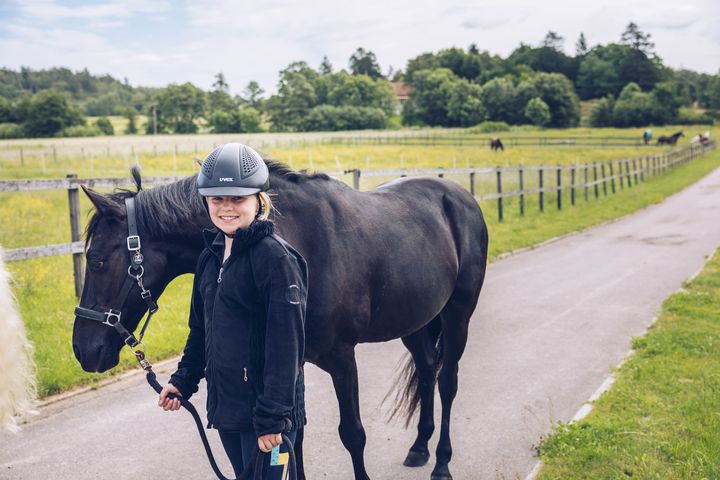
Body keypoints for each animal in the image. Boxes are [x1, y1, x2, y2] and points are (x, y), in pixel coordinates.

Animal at [73, 161, 490, 480]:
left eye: (98, 261)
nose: (82, 350)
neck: (299, 239)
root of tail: (460, 196)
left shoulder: (343, 358)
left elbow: (352, 434)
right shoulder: (292, 362)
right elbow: (293, 437)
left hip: (457, 316)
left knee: (447, 382)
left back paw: (442, 464)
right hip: (415, 323)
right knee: (427, 370)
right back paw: (419, 448)